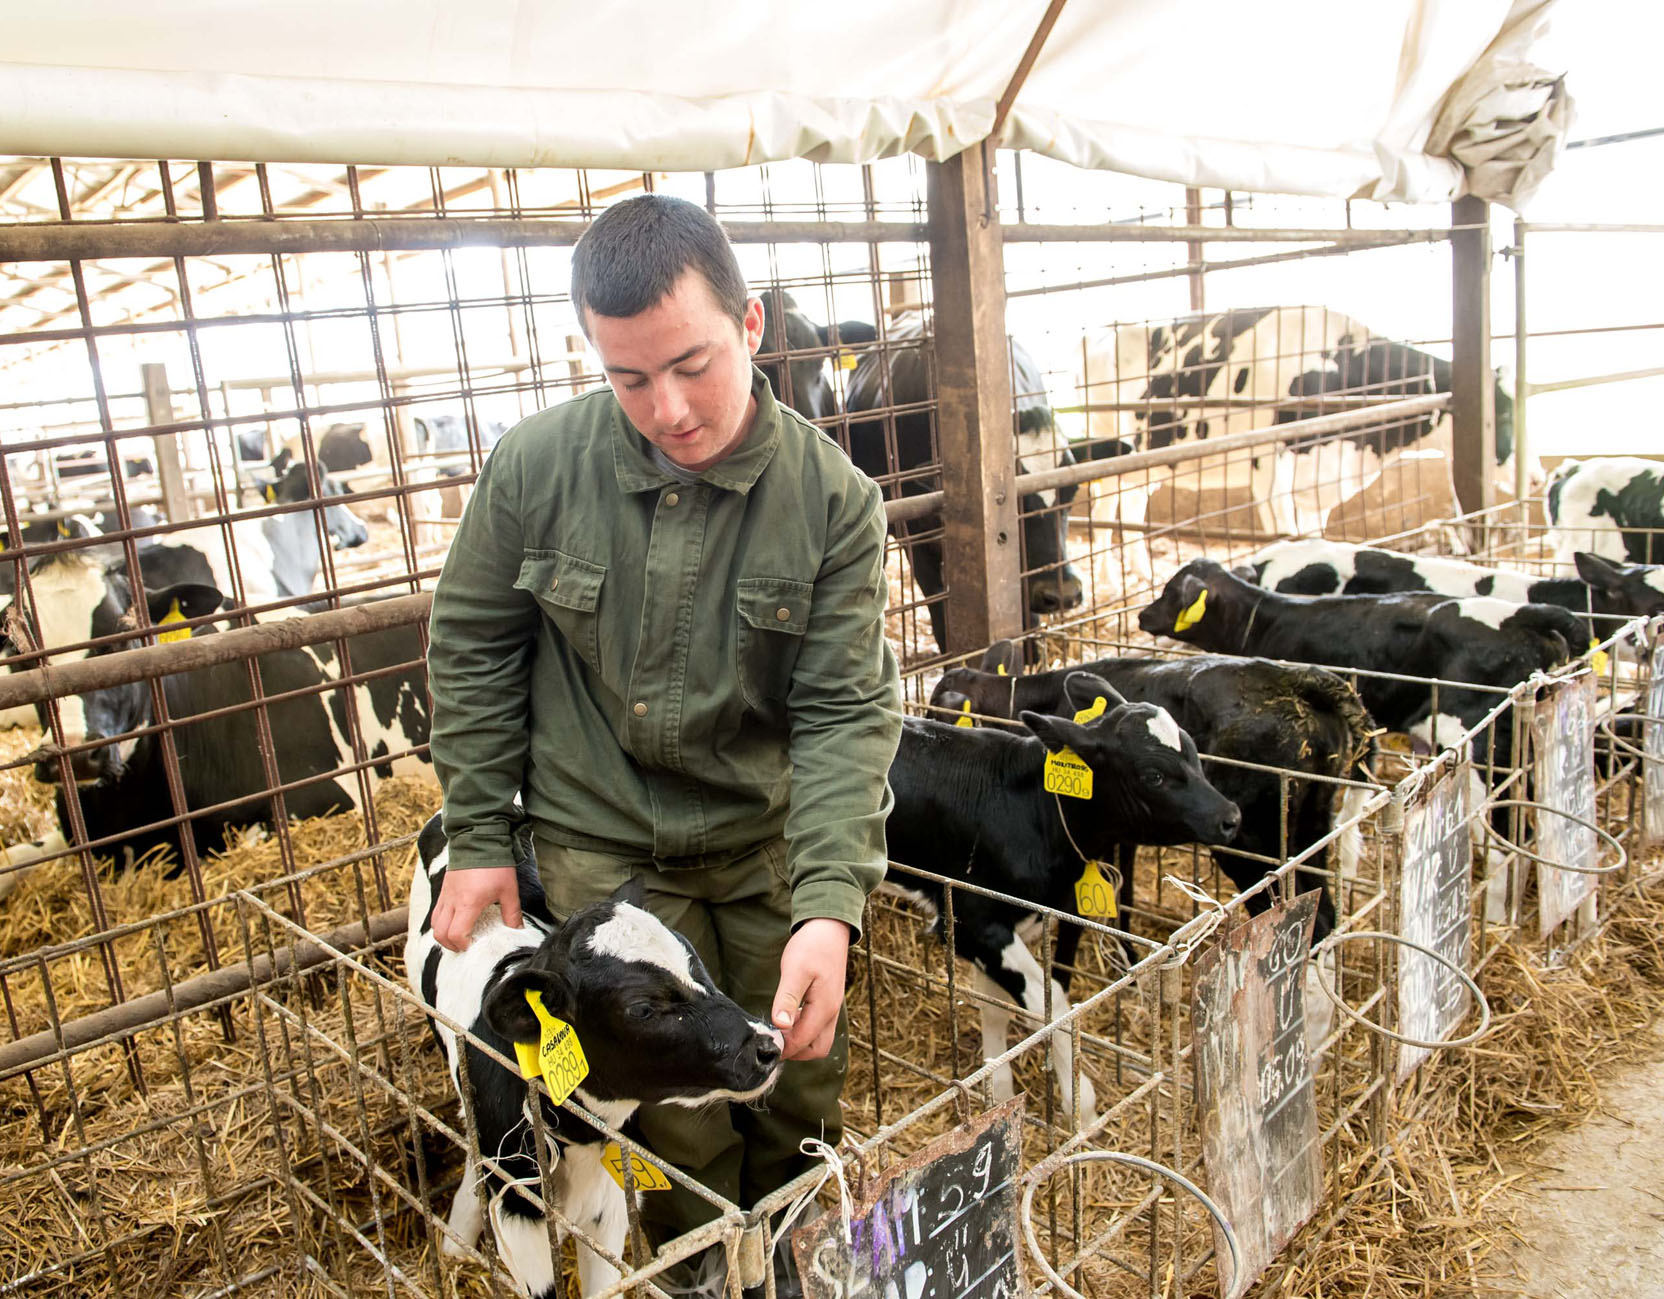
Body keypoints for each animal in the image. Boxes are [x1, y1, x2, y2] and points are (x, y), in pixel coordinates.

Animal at [409, 814, 785, 1297]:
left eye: (694, 961)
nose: (768, 1045)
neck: (575, 1137)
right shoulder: (521, 1219)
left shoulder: (611, 1208)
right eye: (641, 1009)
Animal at [885, 668, 1238, 1117]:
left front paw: (999, 1092)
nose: (1230, 817)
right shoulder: (971, 922)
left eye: (1193, 751)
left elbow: (997, 1007)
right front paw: (1080, 1108)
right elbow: (1052, 1010)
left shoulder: (1008, 924)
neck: (1033, 810)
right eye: (1153, 775)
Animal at [931, 642, 1371, 938]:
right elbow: (1122, 891)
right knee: (1324, 911)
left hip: (1252, 838)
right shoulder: (1122, 827)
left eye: (935, 708)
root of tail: (1295, 678)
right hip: (1312, 821)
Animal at [1078, 306, 1524, 538]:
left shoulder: (1320, 478)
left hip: (1146, 460)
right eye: (1502, 413)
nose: (1533, 478)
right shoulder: (1269, 468)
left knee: (1130, 506)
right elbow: (1287, 533)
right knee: (1105, 506)